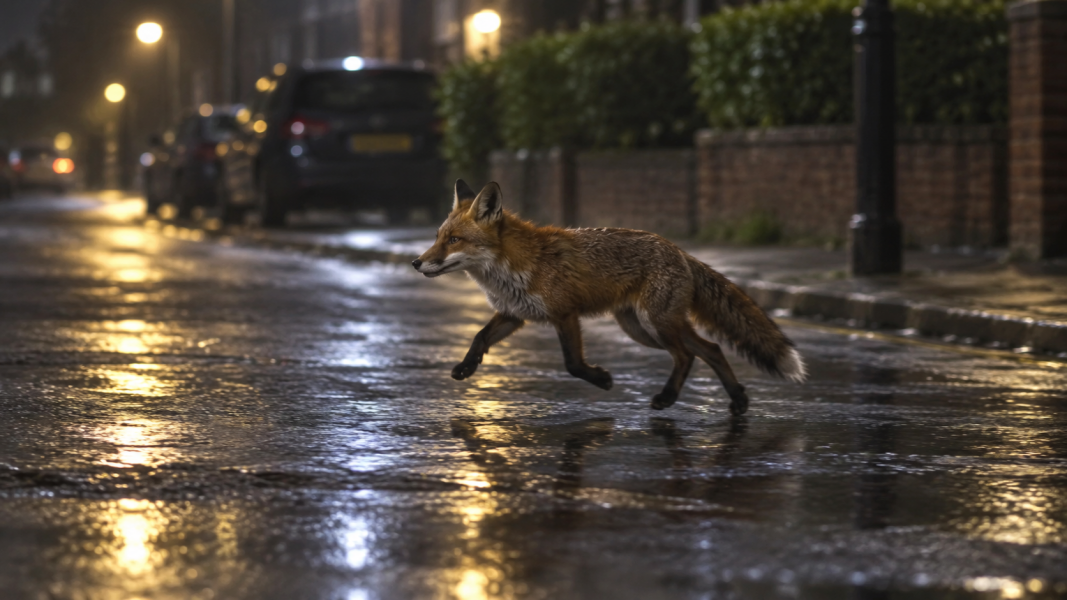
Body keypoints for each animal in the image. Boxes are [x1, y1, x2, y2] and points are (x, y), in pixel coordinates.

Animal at [412, 180, 806, 415]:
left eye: (454, 240)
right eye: (438, 237)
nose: (416, 262)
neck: (514, 268)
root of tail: (680, 251)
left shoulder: (564, 314)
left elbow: (573, 364)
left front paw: (601, 379)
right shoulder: (514, 314)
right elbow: (479, 337)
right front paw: (466, 368)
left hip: (656, 325)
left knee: (688, 355)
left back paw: (668, 398)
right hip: (644, 329)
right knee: (711, 349)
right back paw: (737, 399)